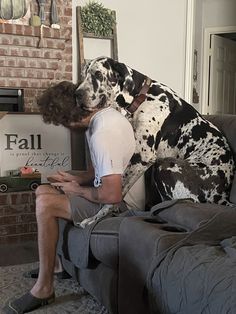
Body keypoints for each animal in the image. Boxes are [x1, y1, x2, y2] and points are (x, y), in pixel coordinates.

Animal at [76, 55, 234, 223]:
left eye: (98, 74)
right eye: (83, 75)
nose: (76, 94)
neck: (142, 98)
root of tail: (222, 196)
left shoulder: (142, 158)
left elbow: (117, 191)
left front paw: (96, 217)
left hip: (164, 166)